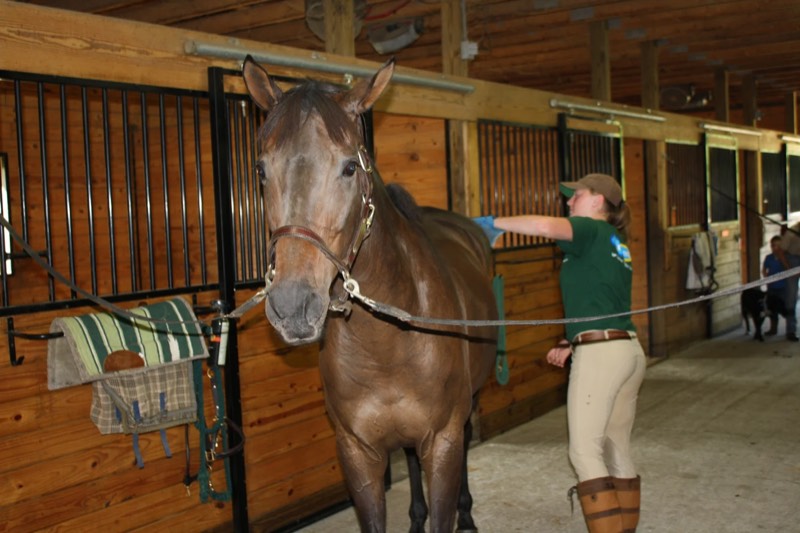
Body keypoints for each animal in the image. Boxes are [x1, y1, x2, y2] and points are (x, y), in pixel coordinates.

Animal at [242, 56, 498, 532]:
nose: (293, 306)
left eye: (349, 167)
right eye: (261, 169)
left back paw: (467, 515)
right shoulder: (357, 452)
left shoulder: (443, 441)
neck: (388, 343)